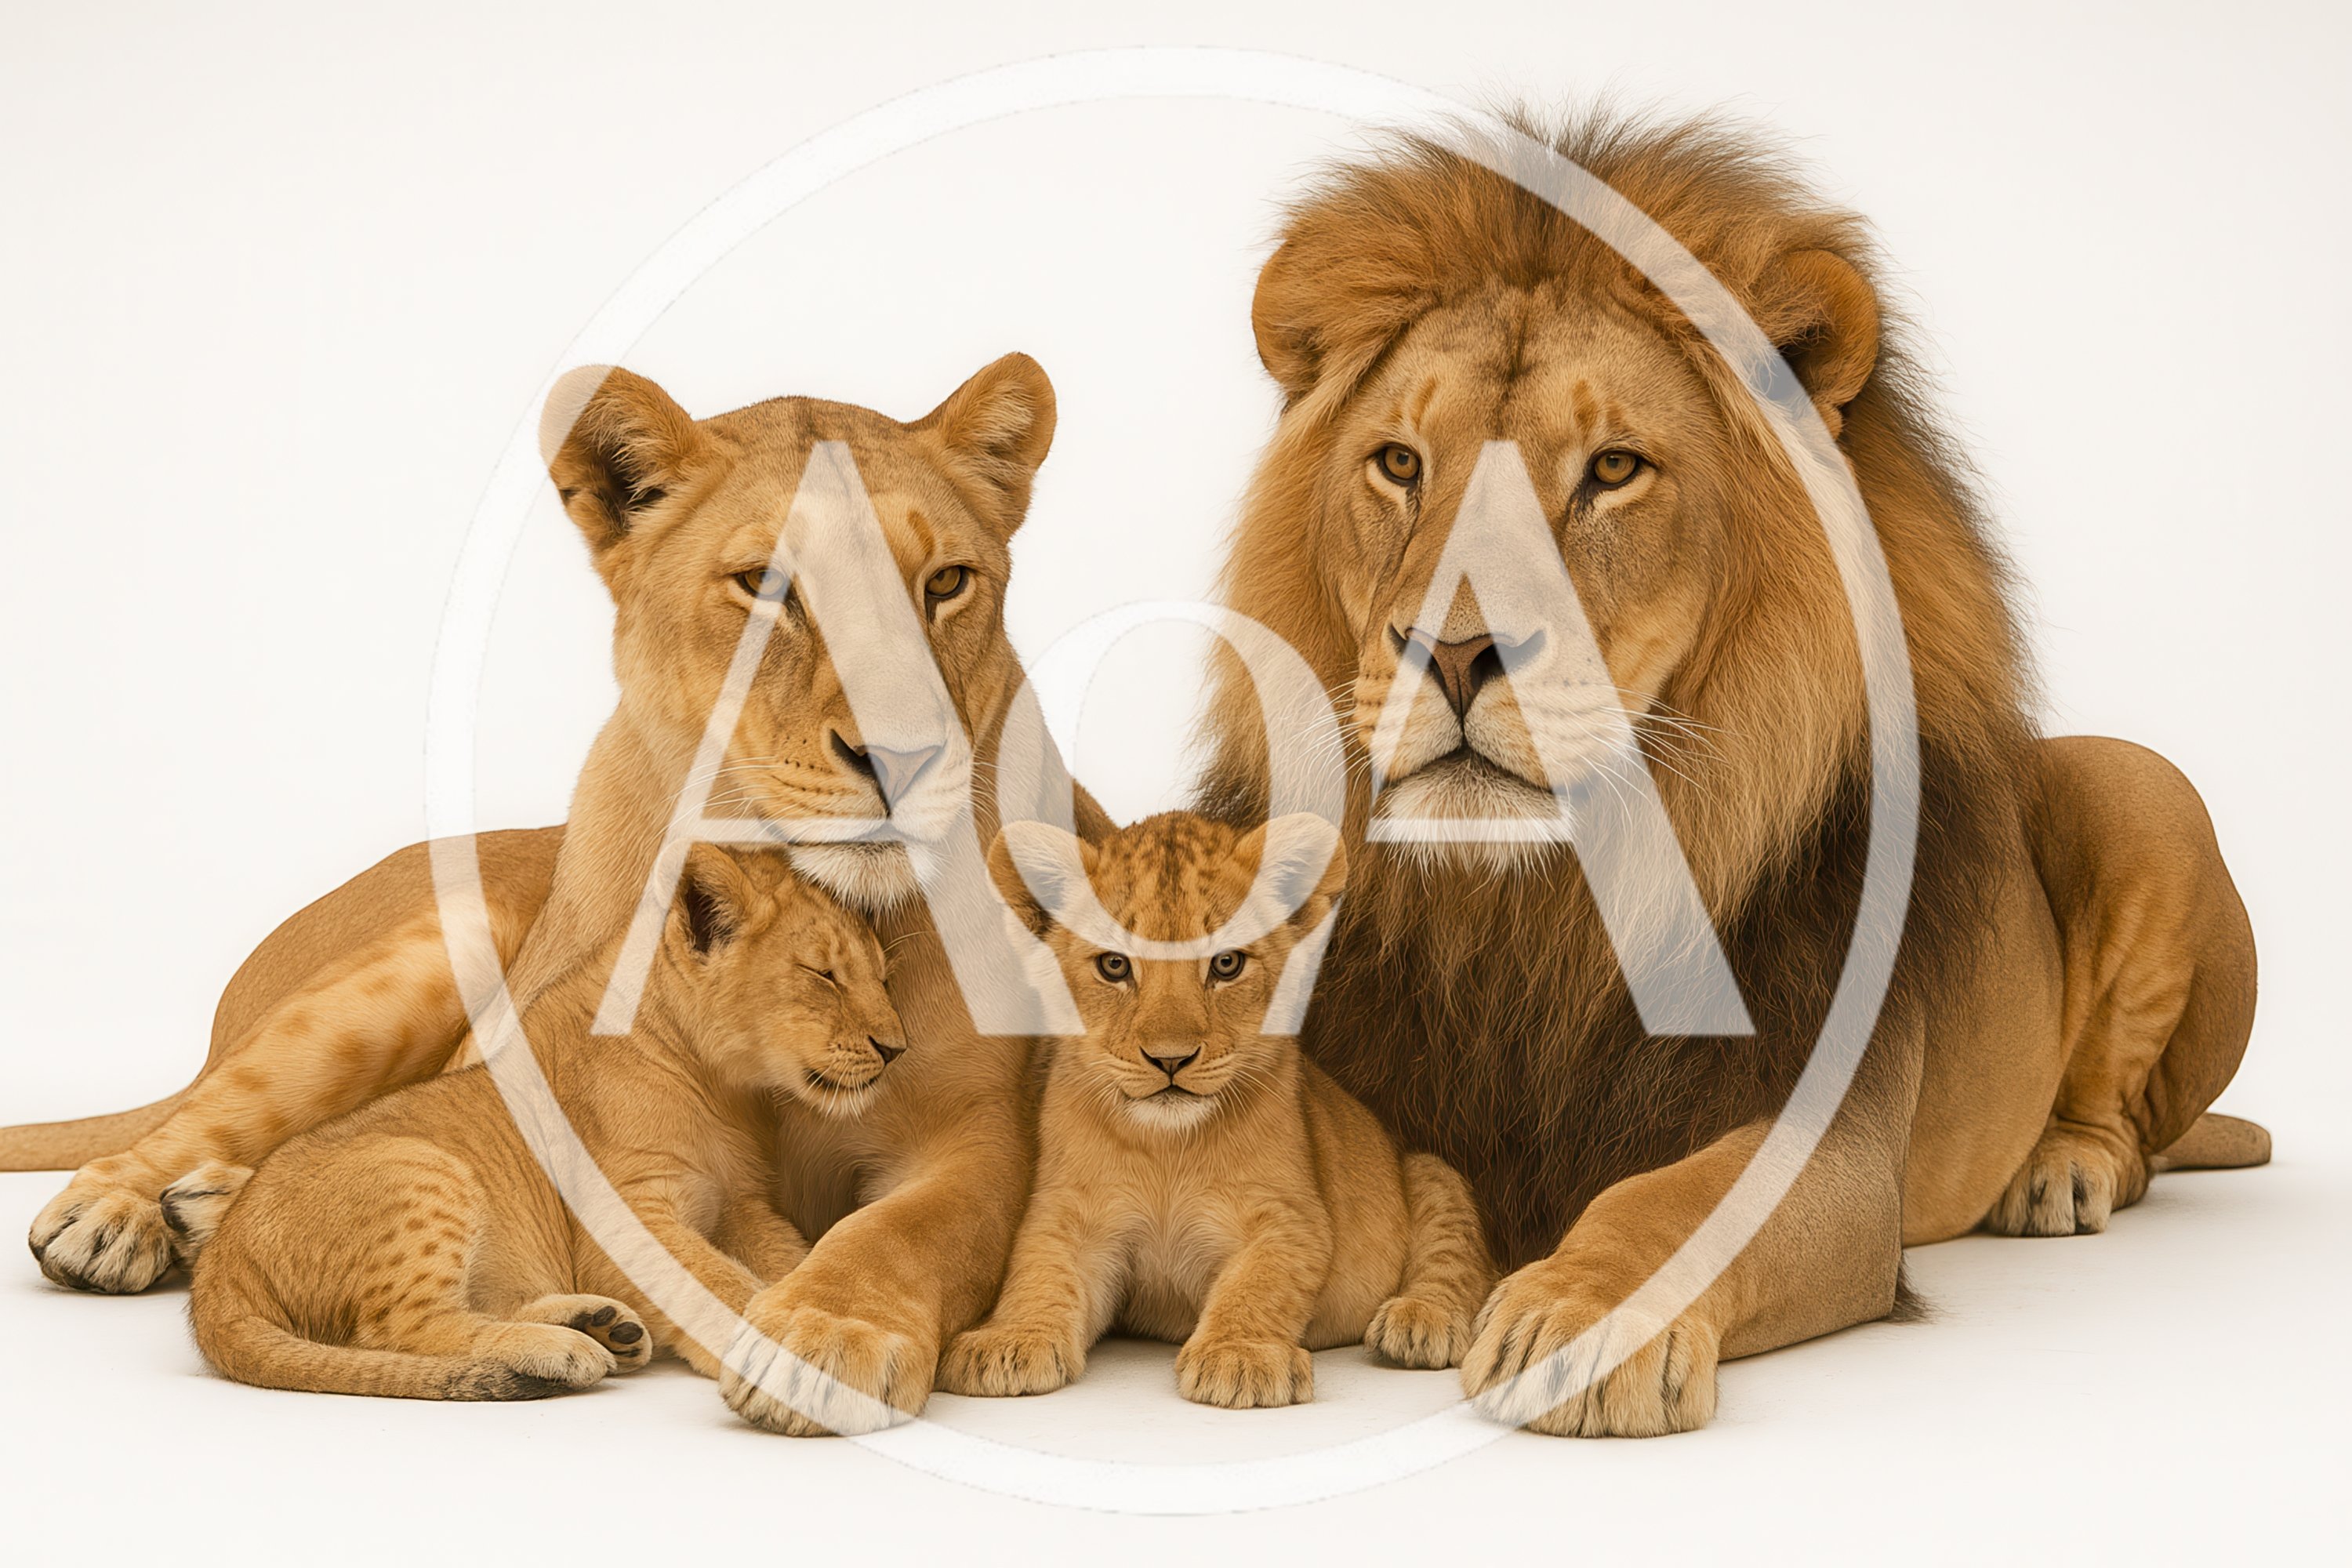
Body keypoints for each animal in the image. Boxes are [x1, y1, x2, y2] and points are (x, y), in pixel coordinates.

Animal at [189, 845, 903, 1400]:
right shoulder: (624, 1212)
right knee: (401, 1328)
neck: (716, 1085)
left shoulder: (742, 1205)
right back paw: (563, 1351)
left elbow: (792, 1262)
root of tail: (220, 1263)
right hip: (424, 1169)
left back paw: (599, 1326)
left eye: (885, 978)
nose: (897, 1048)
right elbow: (713, 1279)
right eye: (823, 974)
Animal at [938, 812, 1494, 1408]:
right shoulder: (1068, 1214)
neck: (1167, 1149)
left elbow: (1260, 1283)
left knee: (1460, 1262)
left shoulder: (1290, 1217)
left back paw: (1420, 1322)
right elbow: (1039, 1270)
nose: (1170, 1059)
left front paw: (1241, 1356)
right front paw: (1010, 1340)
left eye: (1227, 963)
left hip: (1432, 1172)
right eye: (1114, 965)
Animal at [1194, 112, 2266, 1436]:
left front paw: (1578, 1316)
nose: (1448, 650)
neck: (1536, 905)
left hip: (2143, 784)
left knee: (2135, 1126)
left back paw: (2060, 1169)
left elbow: (1669, 1206)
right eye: (1399, 463)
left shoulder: (1831, 1134)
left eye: (1613, 471)